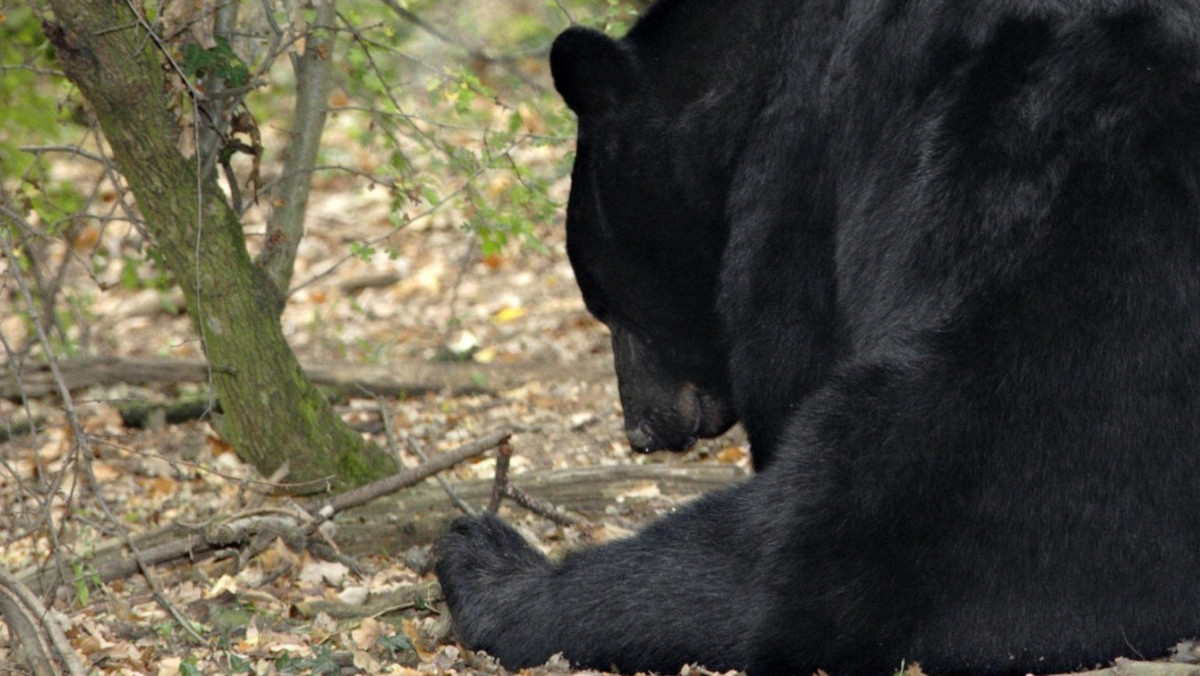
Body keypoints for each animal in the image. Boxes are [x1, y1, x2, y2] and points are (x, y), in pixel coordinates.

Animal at [436, 2, 1200, 672]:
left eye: (601, 298)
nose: (641, 430)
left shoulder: (797, 166)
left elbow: (787, 359)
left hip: (1036, 347)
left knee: (823, 533)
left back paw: (496, 573)